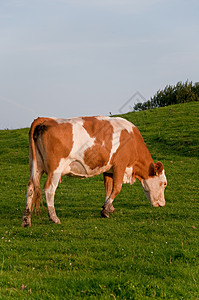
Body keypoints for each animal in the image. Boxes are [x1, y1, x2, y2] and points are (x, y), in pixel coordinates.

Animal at [21, 116, 167, 226]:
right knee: (49, 189)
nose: (163, 204)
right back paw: (54, 217)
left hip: (36, 166)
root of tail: (46, 120)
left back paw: (26, 220)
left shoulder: (109, 169)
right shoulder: (120, 165)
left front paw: (108, 207)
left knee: (31, 187)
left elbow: (108, 188)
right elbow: (117, 188)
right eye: (164, 183)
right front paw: (105, 211)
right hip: (55, 169)